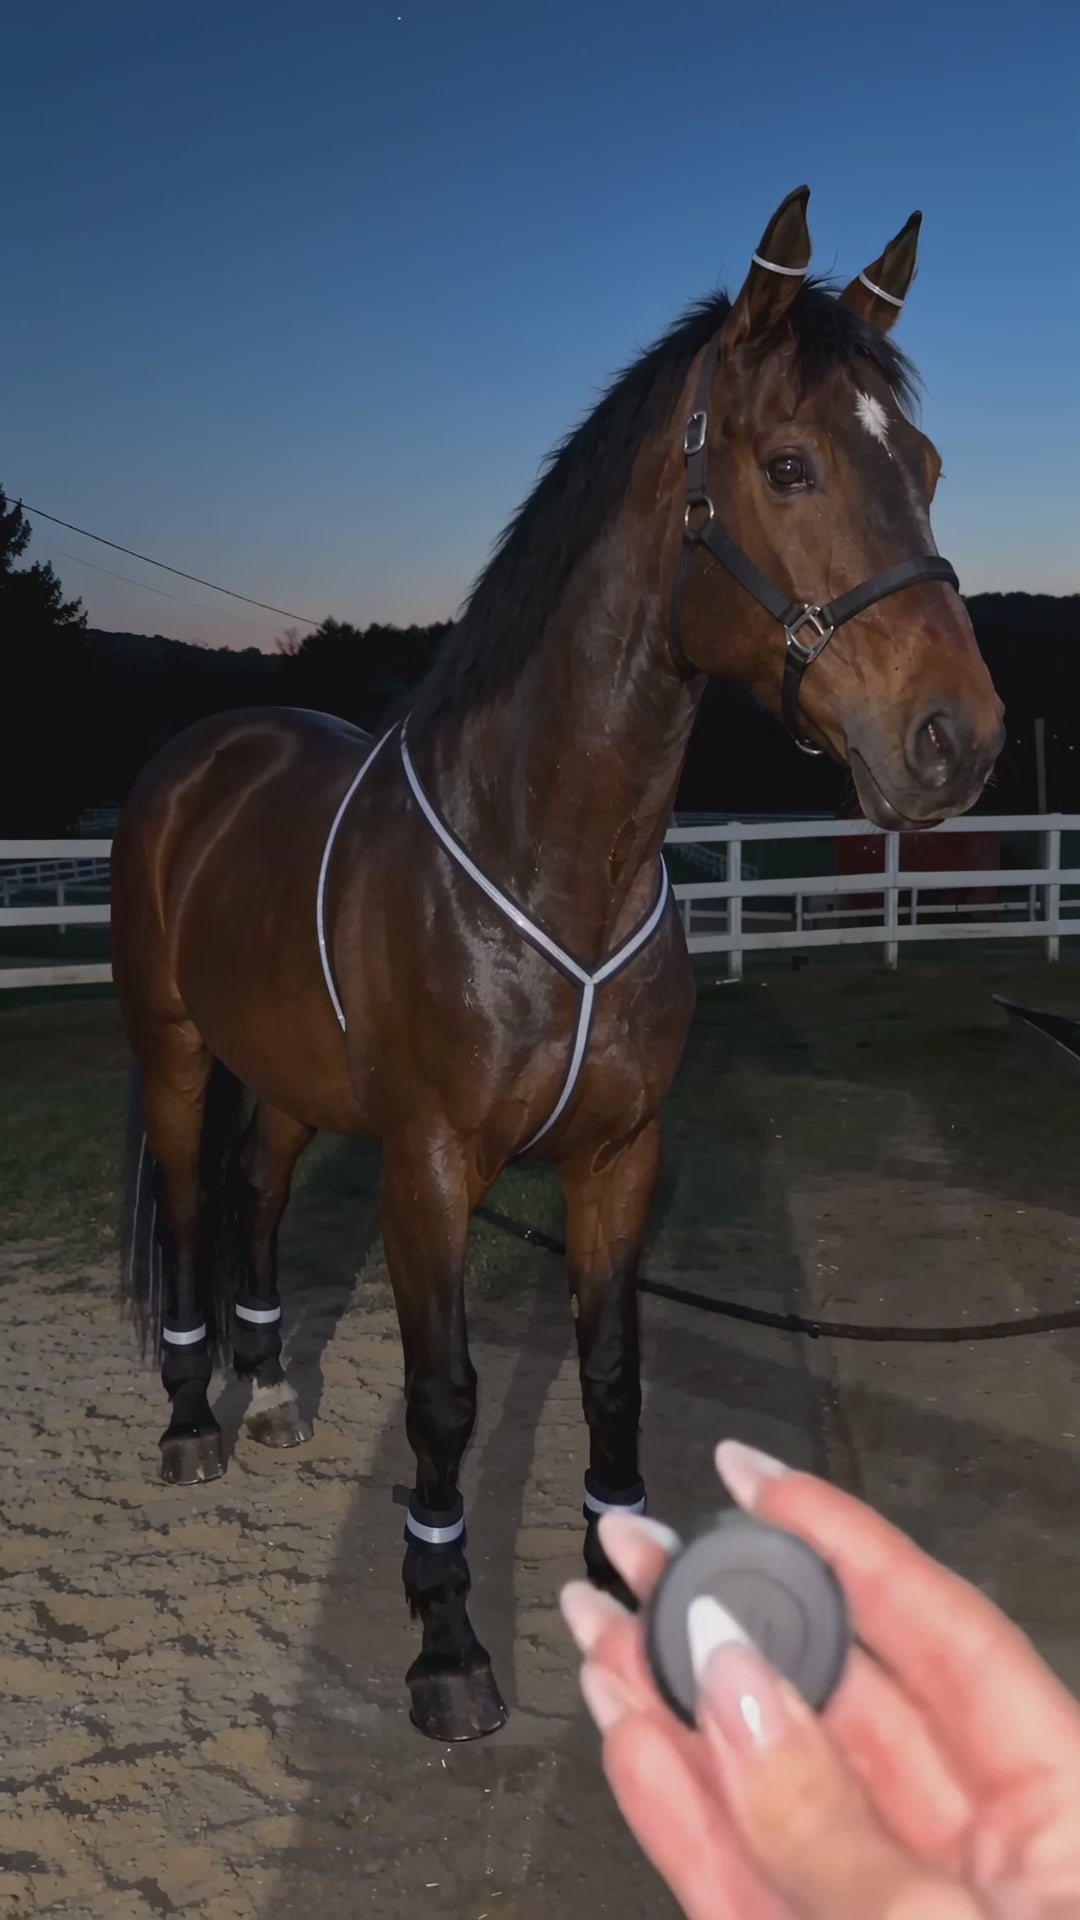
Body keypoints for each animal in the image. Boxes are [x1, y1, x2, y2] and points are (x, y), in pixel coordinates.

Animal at [111, 186, 1004, 1741]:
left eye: (931, 466)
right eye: (789, 465)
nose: (958, 739)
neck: (550, 857)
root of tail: (202, 757)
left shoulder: (620, 1155)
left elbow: (612, 1369)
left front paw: (631, 1579)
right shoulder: (428, 1168)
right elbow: (446, 1397)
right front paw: (447, 1648)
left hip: (282, 1080)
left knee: (256, 1198)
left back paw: (269, 1387)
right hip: (172, 1051)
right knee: (185, 1206)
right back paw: (191, 1418)